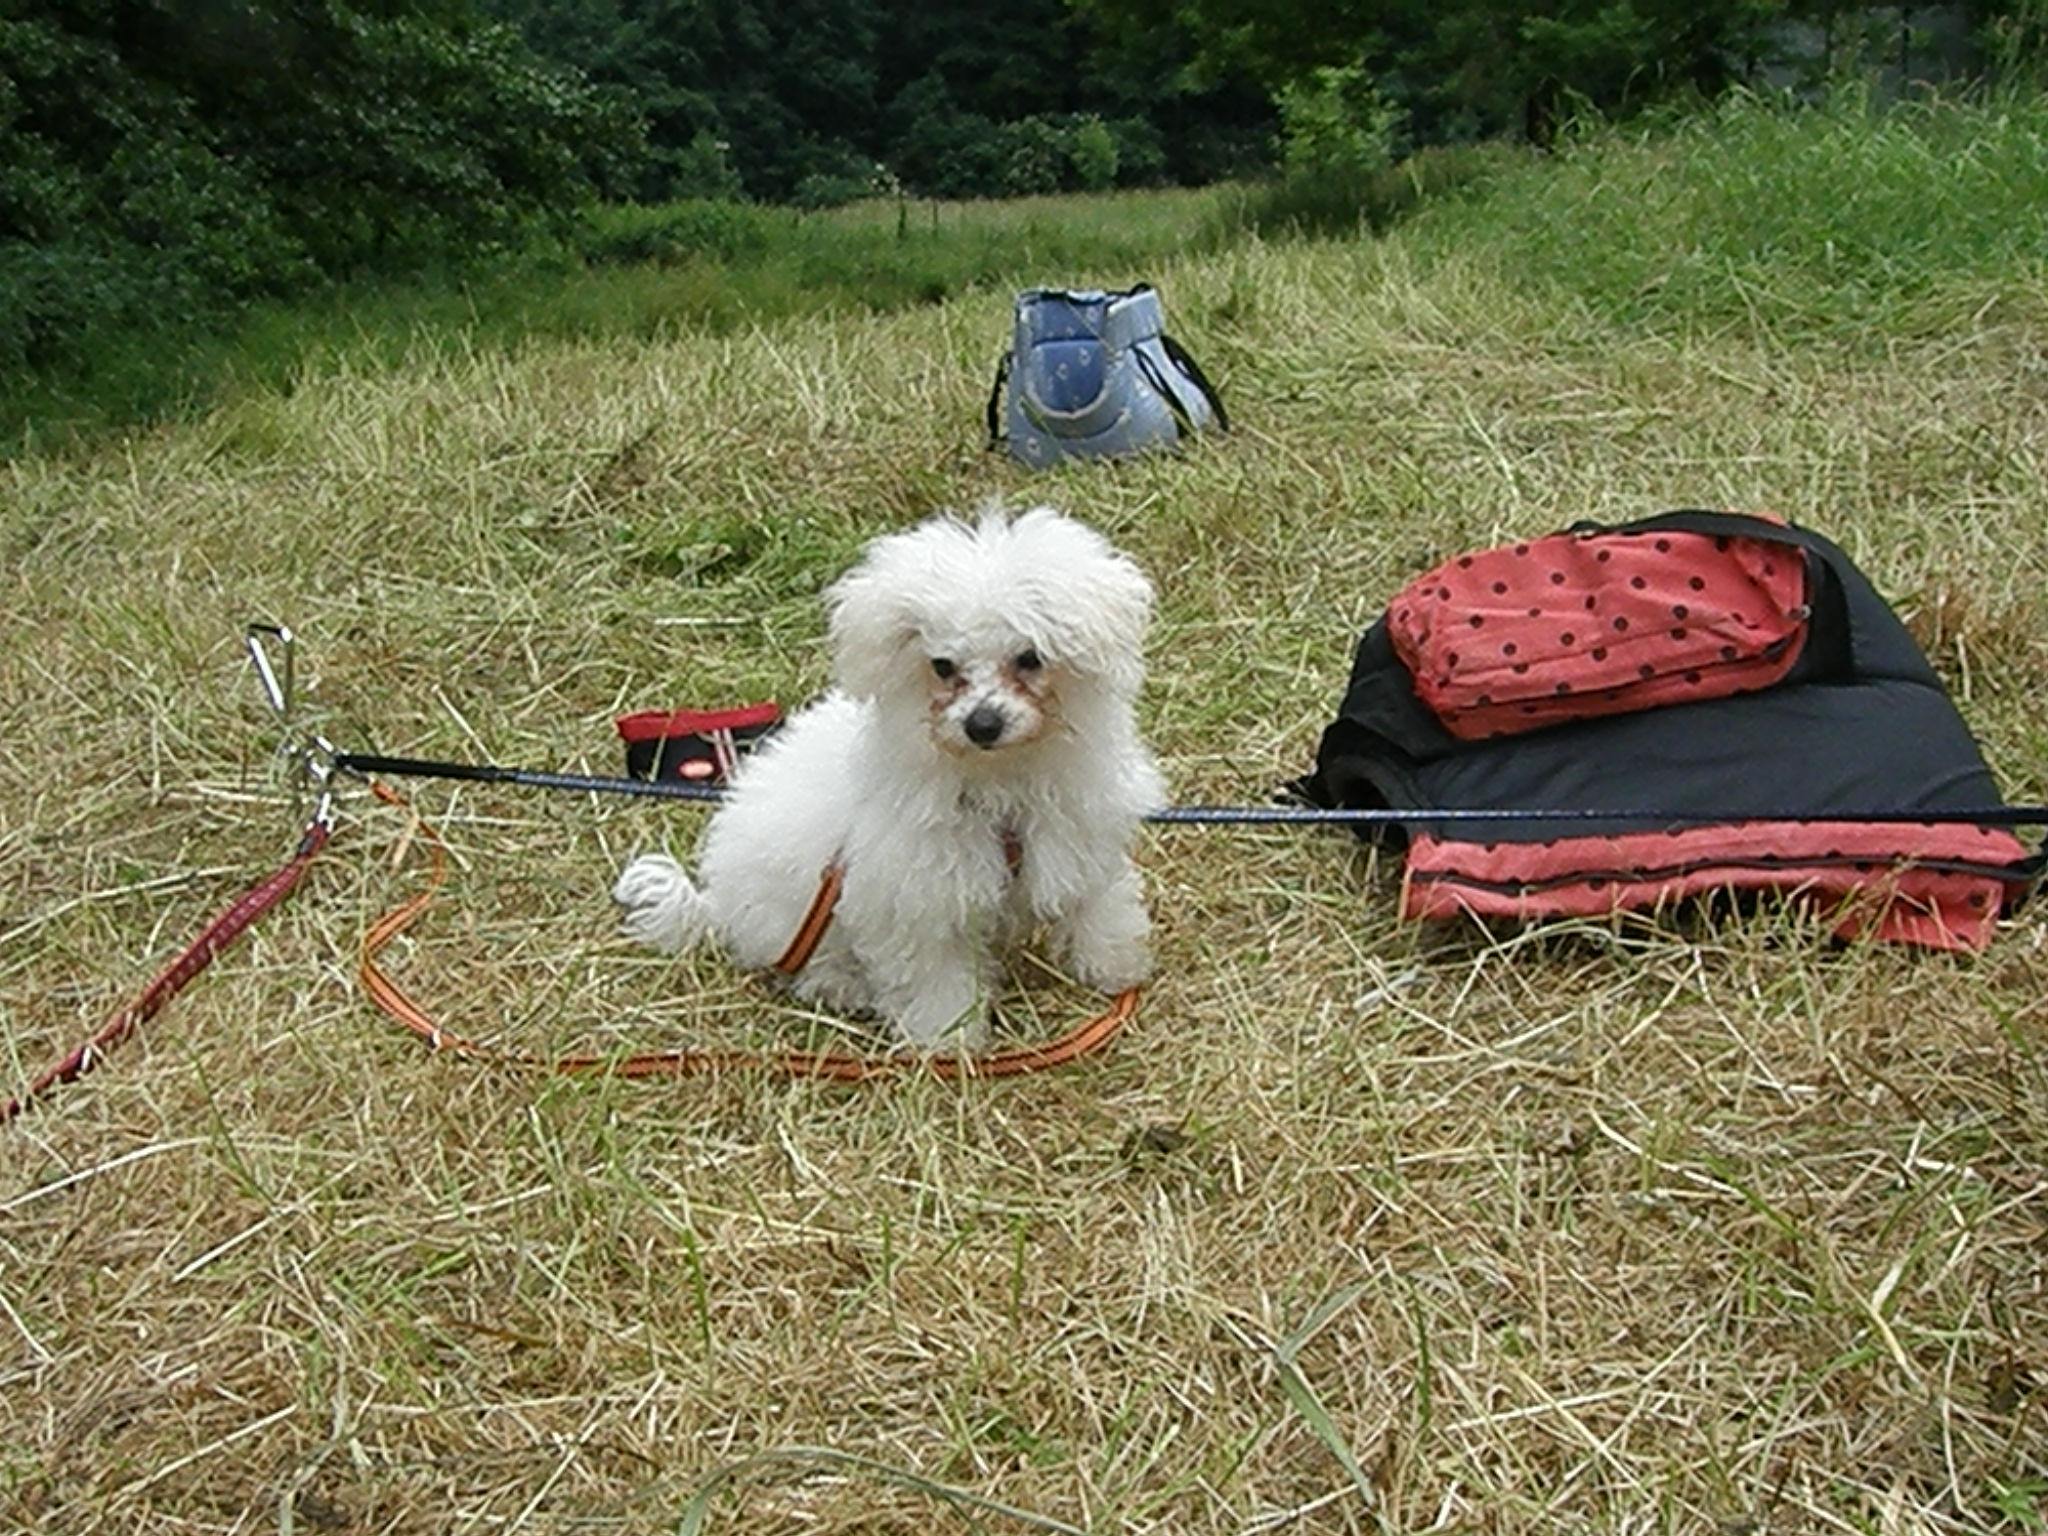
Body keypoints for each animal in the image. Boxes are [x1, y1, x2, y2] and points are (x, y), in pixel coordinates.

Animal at [606, 512, 1163, 1056]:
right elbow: (935, 975)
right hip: (795, 920)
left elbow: (1098, 905)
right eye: (942, 666)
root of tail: (715, 903)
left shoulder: (1079, 834)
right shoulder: (917, 896)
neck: (997, 777)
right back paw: (844, 986)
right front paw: (948, 1038)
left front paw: (1114, 967)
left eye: (1029, 657)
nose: (982, 724)